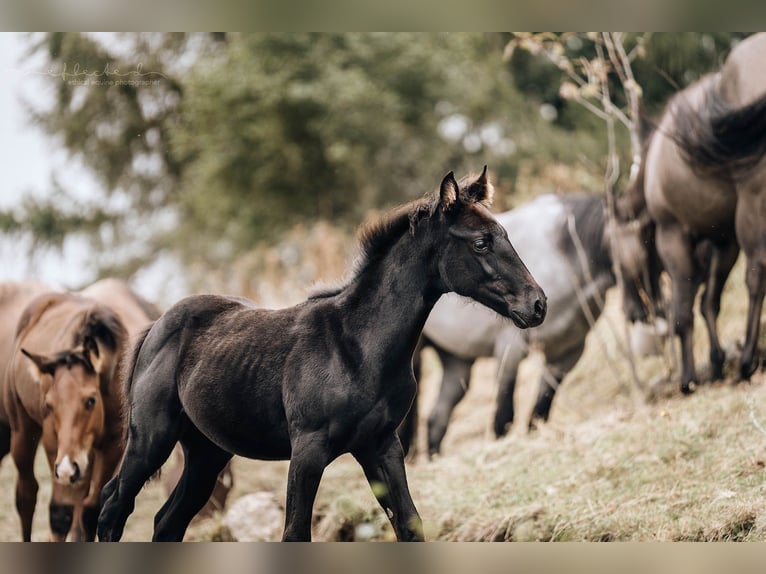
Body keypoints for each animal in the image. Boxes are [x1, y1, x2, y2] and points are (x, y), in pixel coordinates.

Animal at [3, 294, 127, 544]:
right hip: (22, 434)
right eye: (49, 405)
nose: (68, 468)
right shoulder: (54, 444)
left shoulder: (111, 446)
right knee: (27, 496)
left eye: (90, 400)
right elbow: (60, 514)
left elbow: (91, 511)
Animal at [99, 168, 548, 544]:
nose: (538, 304)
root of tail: (157, 325)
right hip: (150, 437)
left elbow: (410, 525)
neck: (359, 345)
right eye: (481, 242)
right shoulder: (308, 450)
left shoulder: (381, 446)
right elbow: (296, 533)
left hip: (207, 453)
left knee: (166, 522)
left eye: (504, 234)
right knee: (112, 508)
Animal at [400, 194, 616, 460]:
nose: (538, 306)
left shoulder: (568, 353)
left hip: (457, 362)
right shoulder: (510, 348)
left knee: (436, 420)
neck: (565, 255)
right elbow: (503, 419)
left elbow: (538, 413)